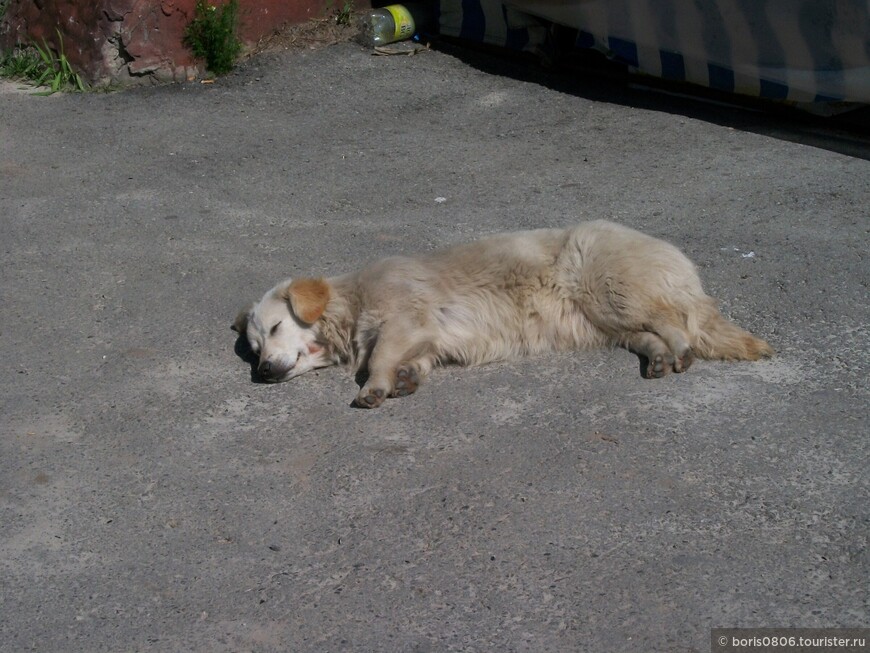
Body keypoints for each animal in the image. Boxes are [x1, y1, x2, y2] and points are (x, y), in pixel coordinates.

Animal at [235, 222, 772, 410]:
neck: (352, 300)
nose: (263, 372)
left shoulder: (406, 317)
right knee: (649, 335)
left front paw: (376, 385)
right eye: (255, 349)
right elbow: (412, 360)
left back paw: (679, 350)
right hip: (604, 323)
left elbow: (378, 357)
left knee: (674, 323)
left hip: (607, 288)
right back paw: (659, 358)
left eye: (278, 327)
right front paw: (407, 378)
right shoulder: (425, 338)